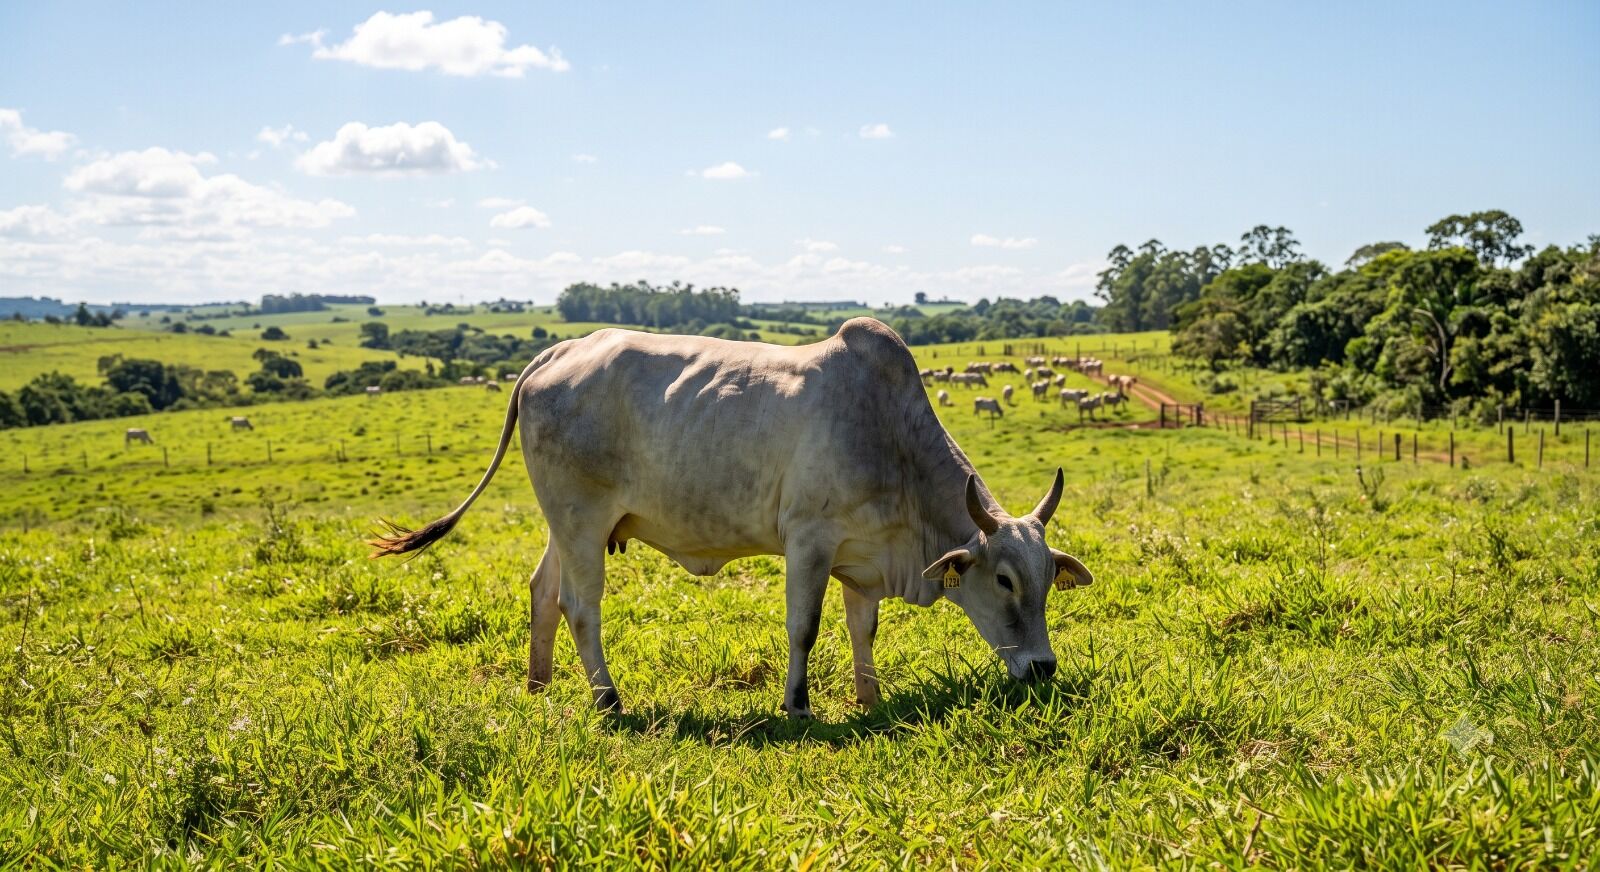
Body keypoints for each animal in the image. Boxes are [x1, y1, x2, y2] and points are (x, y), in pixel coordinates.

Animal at [368, 319, 1094, 718]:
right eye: (1004, 580)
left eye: (1048, 580)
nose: (1043, 669)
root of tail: (554, 355)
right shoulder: (809, 541)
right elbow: (805, 629)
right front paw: (798, 705)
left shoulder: (860, 558)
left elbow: (863, 629)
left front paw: (869, 698)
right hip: (581, 520)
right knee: (580, 605)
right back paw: (607, 698)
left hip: (564, 526)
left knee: (543, 591)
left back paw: (539, 687)